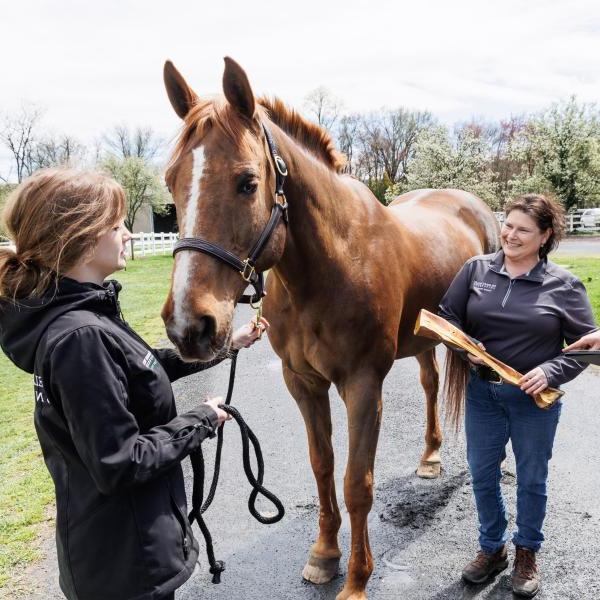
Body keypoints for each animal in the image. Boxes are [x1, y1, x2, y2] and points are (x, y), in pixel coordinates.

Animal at [162, 57, 500, 600]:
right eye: (172, 182)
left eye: (247, 182)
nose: (189, 326)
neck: (332, 264)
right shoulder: (303, 383)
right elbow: (322, 467)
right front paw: (323, 555)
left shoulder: (363, 386)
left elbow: (356, 481)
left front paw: (357, 578)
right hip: (424, 338)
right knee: (429, 383)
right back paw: (429, 455)